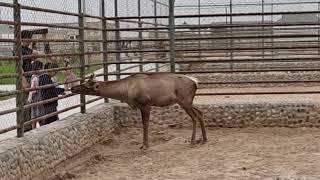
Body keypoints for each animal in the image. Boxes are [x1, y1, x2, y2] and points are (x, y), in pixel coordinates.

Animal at [70, 72, 208, 148]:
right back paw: (204, 139)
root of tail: (196, 82)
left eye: (85, 85)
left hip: (185, 101)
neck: (125, 92)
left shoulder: (145, 104)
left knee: (194, 117)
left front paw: (145, 144)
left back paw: (193, 141)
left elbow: (145, 124)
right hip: (187, 102)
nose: (72, 88)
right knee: (200, 113)